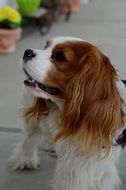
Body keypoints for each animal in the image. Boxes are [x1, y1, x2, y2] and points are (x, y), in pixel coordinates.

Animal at [9, 37, 126, 190]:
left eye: (60, 56)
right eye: (45, 46)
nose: (27, 52)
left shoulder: (95, 167)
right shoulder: (73, 164)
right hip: (35, 119)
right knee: (30, 137)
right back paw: (26, 159)